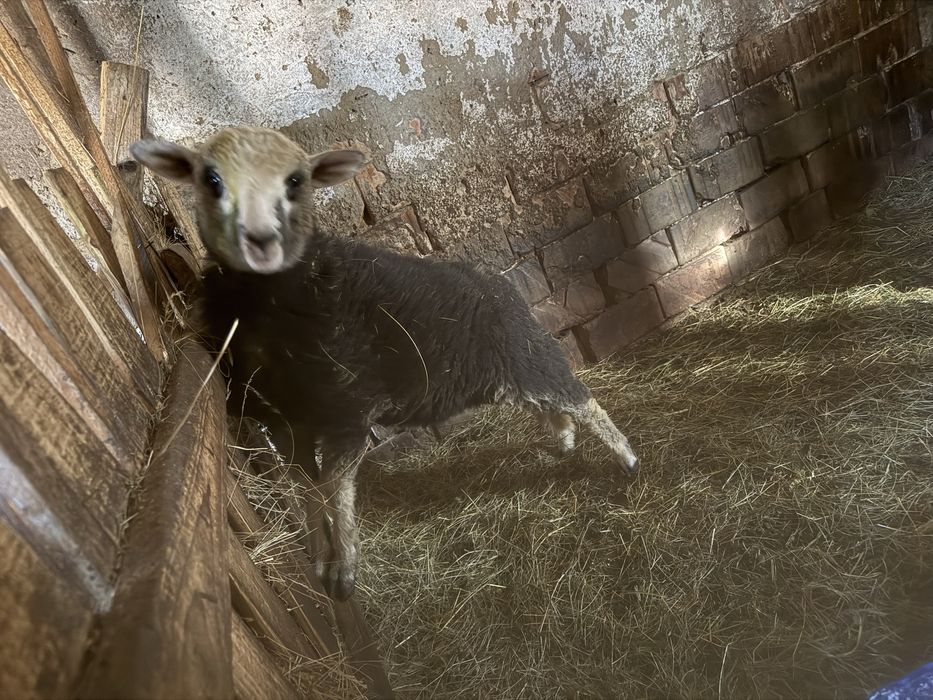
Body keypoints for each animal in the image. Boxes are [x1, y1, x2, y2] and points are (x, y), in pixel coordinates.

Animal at [131, 127, 639, 601]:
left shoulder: (347, 416)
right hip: (503, 375)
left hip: (528, 355)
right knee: (548, 407)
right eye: (210, 179)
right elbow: (306, 486)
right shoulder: (287, 424)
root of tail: (501, 286)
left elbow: (334, 487)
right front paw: (319, 555)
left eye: (296, 181)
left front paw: (344, 569)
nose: (258, 238)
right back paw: (564, 445)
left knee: (579, 399)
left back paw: (627, 458)